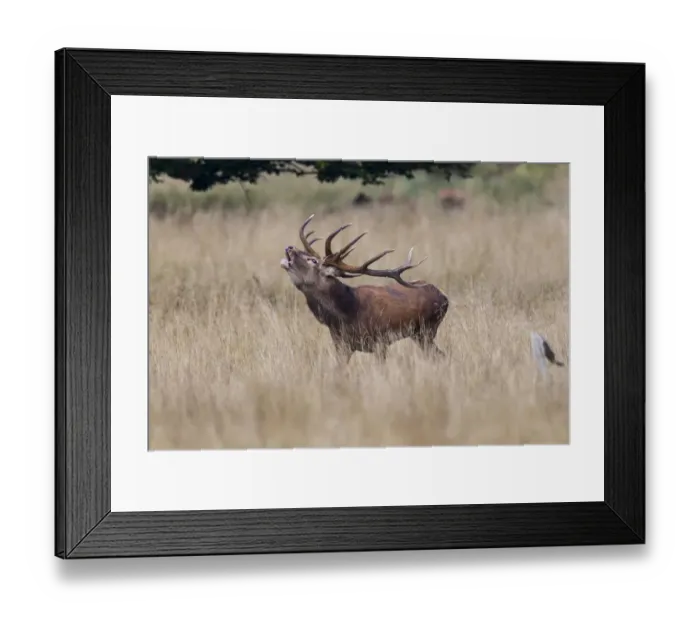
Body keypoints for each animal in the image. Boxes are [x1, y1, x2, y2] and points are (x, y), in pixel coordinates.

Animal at [280, 214, 450, 363]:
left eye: (313, 260)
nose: (290, 247)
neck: (345, 315)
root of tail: (444, 298)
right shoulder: (342, 345)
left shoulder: (380, 342)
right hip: (419, 334)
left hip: (427, 330)